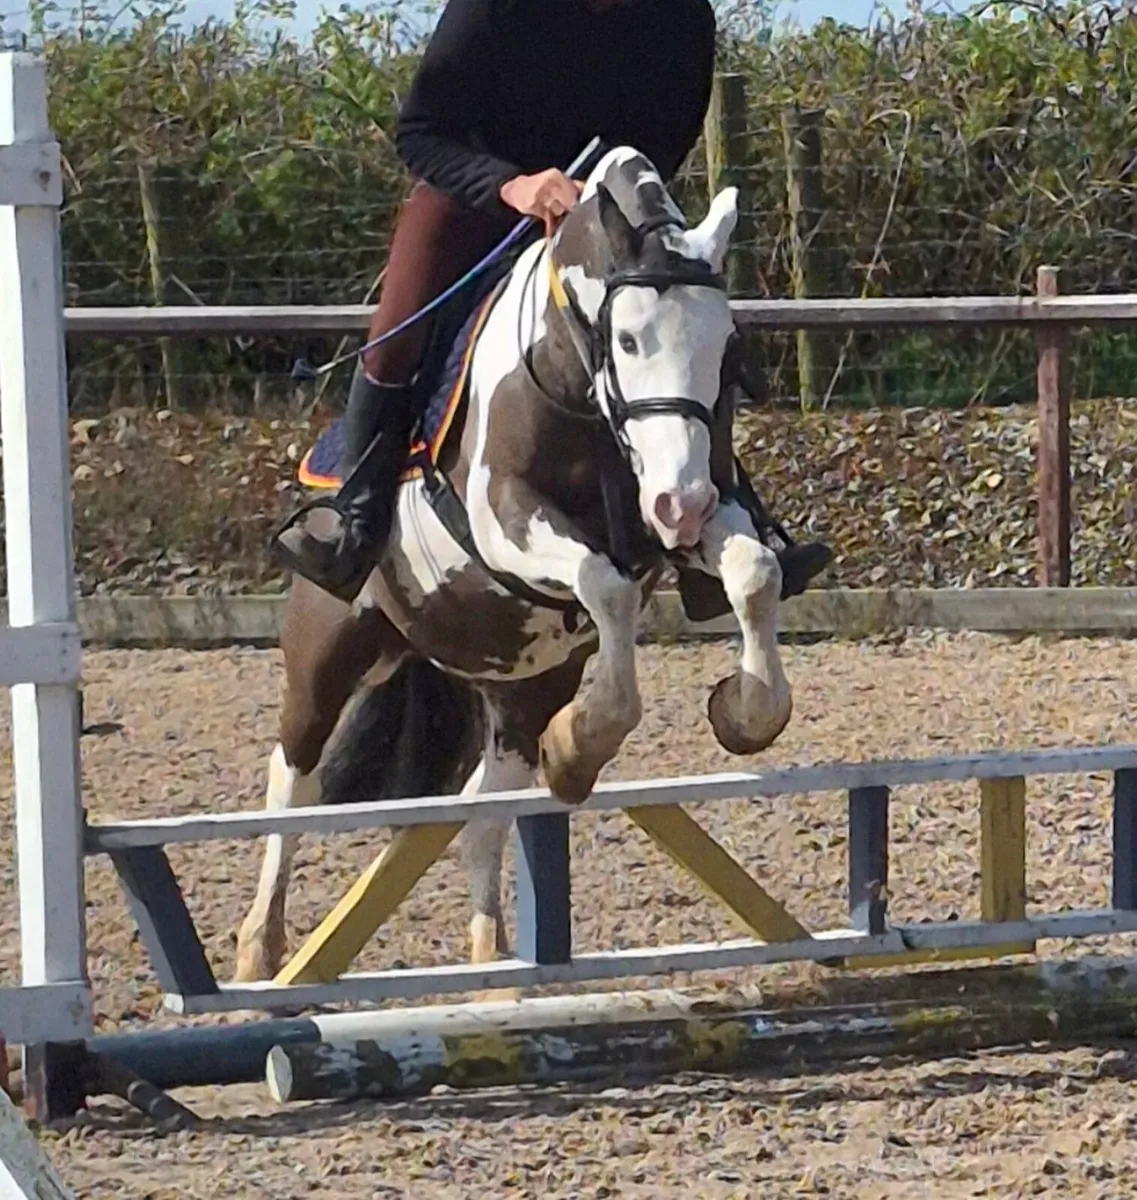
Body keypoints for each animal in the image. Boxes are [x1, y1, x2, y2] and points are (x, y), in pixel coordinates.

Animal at [233, 145, 794, 986]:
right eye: (628, 342)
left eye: (726, 352)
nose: (680, 505)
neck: (571, 379)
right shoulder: (508, 520)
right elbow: (606, 585)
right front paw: (584, 741)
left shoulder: (698, 506)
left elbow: (753, 572)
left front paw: (738, 713)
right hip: (329, 650)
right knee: (291, 781)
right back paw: (258, 952)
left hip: (520, 685)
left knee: (481, 813)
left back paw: (491, 963)